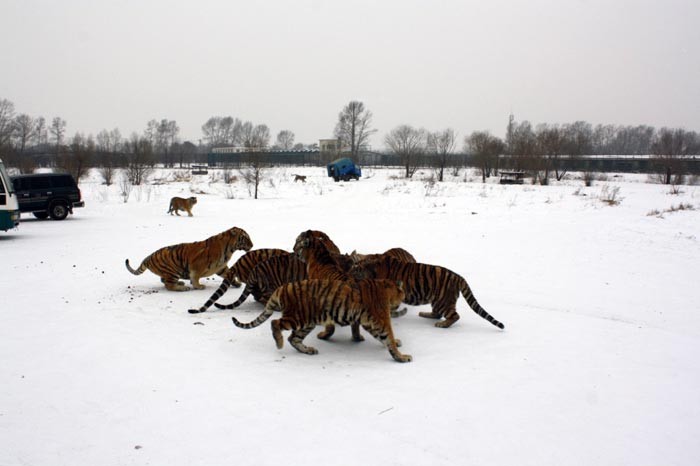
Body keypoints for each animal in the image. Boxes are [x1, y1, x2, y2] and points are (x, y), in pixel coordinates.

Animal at [124, 227, 253, 292]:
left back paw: (180, 283)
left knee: (164, 280)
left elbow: (229, 273)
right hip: (172, 270)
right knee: (168, 285)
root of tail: (148, 257)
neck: (229, 249)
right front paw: (198, 286)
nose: (252, 245)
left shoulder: (220, 267)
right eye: (246, 238)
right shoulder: (197, 265)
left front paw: (236, 283)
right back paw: (182, 287)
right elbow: (195, 277)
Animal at [232, 278, 412, 362]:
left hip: (307, 322)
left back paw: (308, 350)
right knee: (275, 323)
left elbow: (384, 339)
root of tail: (282, 287)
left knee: (293, 338)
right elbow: (388, 338)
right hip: (297, 317)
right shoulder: (381, 320)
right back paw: (279, 343)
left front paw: (397, 345)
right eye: (403, 293)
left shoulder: (370, 322)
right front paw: (402, 357)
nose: (404, 298)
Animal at [348, 256, 504, 330]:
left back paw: (442, 325)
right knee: (436, 314)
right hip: (437, 301)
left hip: (443, 301)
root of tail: (458, 277)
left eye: (355, 269)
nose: (348, 272)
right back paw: (425, 314)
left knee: (454, 315)